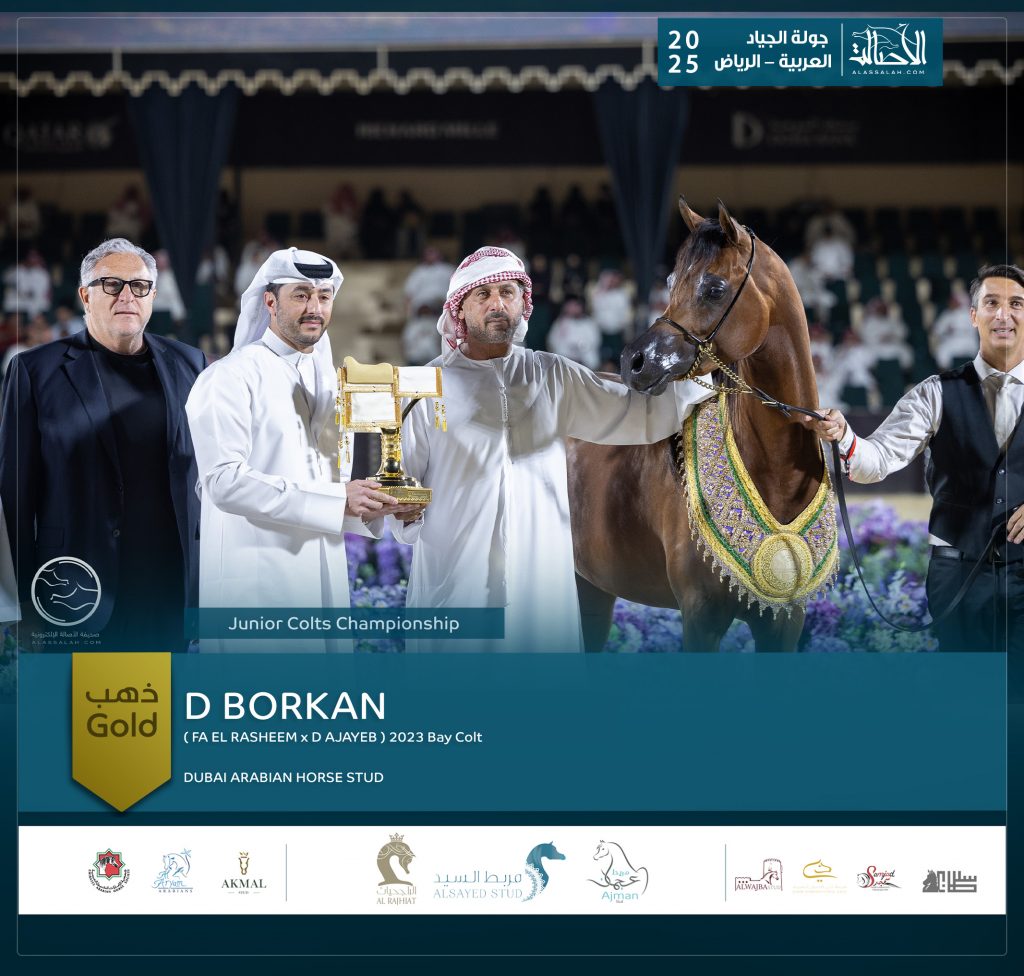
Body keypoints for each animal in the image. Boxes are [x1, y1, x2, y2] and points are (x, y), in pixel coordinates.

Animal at [569, 197, 827, 652]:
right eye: (671, 280)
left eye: (714, 289)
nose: (634, 361)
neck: (776, 473)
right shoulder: (700, 615)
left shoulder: (784, 620)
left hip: (594, 586)